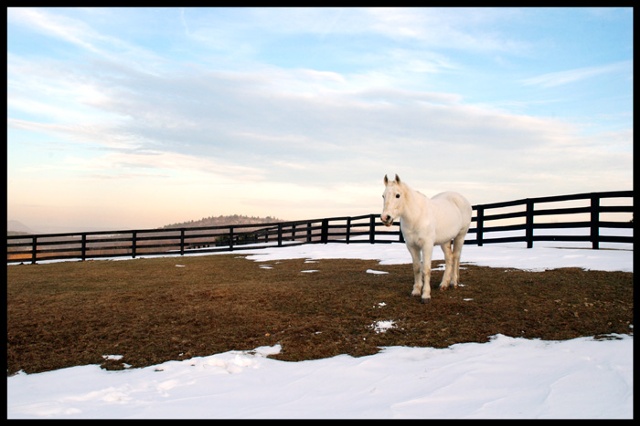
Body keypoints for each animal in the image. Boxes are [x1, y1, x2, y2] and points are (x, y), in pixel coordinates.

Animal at [381, 174, 472, 304]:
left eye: (397, 195)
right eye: (383, 195)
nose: (385, 218)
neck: (416, 217)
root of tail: (461, 199)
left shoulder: (427, 246)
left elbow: (426, 269)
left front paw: (425, 295)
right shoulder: (412, 246)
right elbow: (417, 268)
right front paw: (416, 291)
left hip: (460, 236)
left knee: (456, 257)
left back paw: (453, 282)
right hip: (445, 241)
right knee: (449, 258)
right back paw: (444, 284)